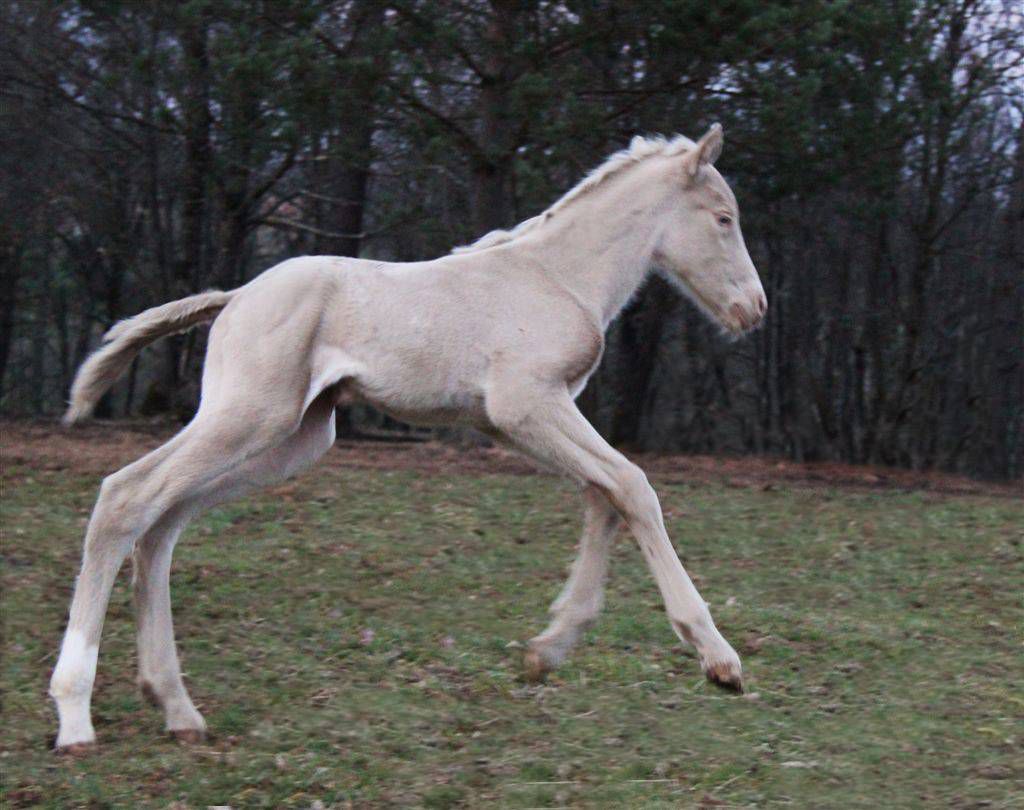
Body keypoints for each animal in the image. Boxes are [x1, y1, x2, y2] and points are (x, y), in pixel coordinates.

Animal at [50, 124, 766, 753]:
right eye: (723, 218)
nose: (753, 310)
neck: (558, 276)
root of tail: (236, 296)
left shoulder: (525, 419)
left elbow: (604, 496)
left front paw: (549, 647)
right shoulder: (526, 405)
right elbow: (632, 487)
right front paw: (717, 656)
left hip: (292, 439)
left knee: (162, 522)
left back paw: (175, 707)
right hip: (248, 416)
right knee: (125, 497)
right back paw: (76, 716)